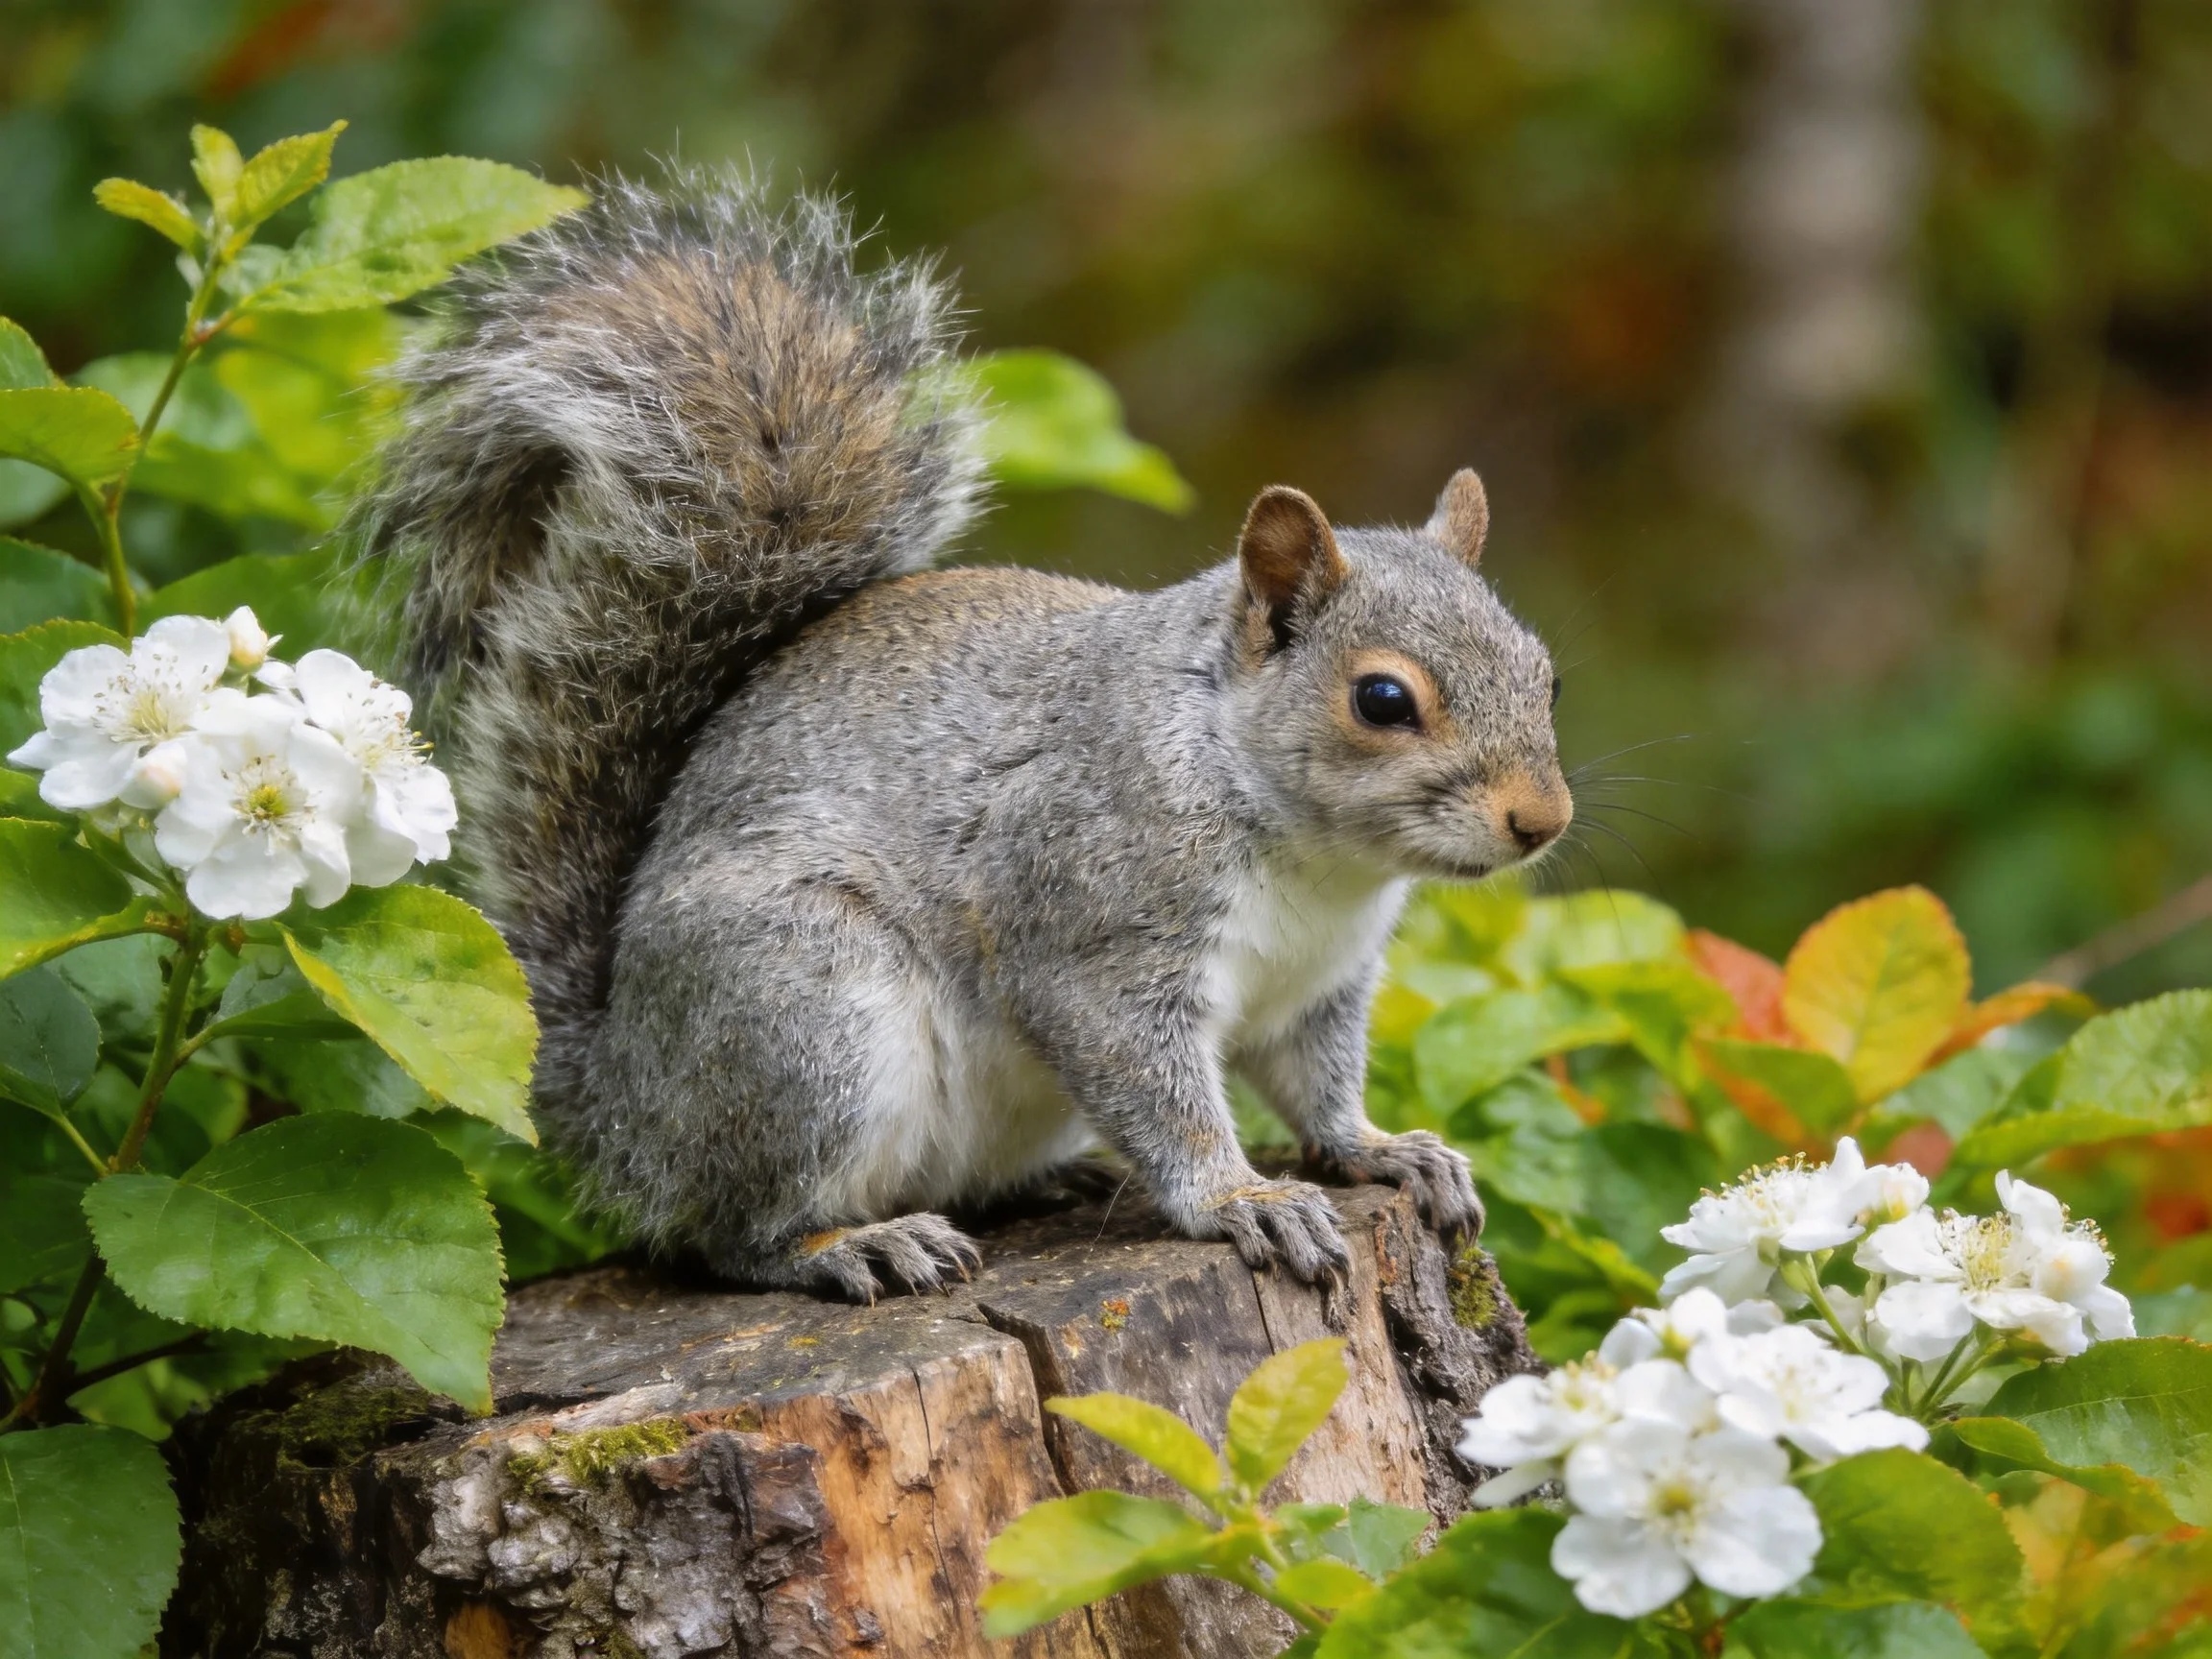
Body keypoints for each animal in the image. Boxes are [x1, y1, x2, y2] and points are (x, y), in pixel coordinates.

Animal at [358, 172, 1573, 1301]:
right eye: (1383, 701)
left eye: (1546, 674)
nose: (1542, 820)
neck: (1314, 858)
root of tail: (617, 1101)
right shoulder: (1093, 930)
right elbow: (1157, 1088)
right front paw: (1243, 1201)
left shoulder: (1320, 985)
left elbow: (1319, 1086)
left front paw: (1382, 1150)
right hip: (807, 1016)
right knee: (733, 1233)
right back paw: (851, 1246)